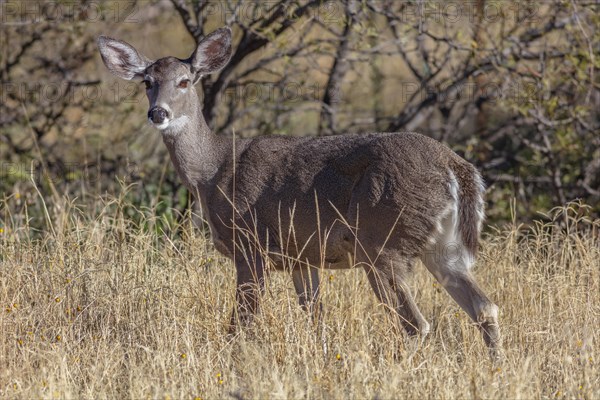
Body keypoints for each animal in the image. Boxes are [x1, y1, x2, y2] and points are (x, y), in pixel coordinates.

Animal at [97, 26, 502, 358]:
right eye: (147, 81)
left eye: (184, 81)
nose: (158, 113)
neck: (213, 173)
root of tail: (456, 168)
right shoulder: (302, 257)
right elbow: (316, 318)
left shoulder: (251, 246)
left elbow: (241, 324)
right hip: (443, 246)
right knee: (485, 307)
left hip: (381, 241)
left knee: (416, 324)